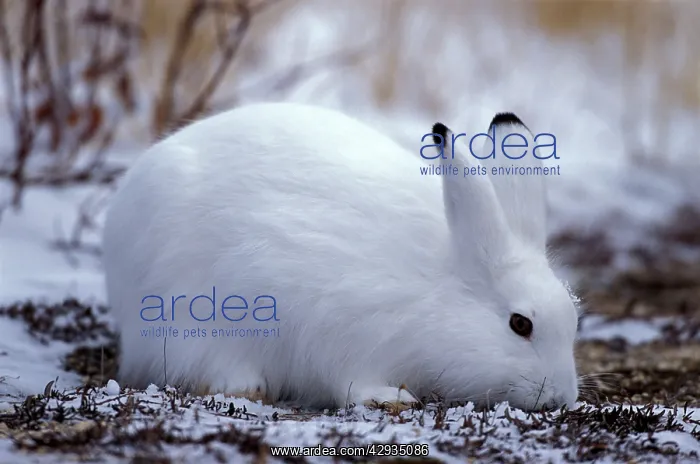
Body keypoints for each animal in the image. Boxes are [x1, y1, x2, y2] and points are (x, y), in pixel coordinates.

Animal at [102, 101, 580, 412]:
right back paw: (246, 386)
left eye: (574, 320)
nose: (562, 398)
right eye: (520, 324)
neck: (438, 291)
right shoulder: (341, 325)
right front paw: (389, 398)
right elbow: (350, 380)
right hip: (186, 316)